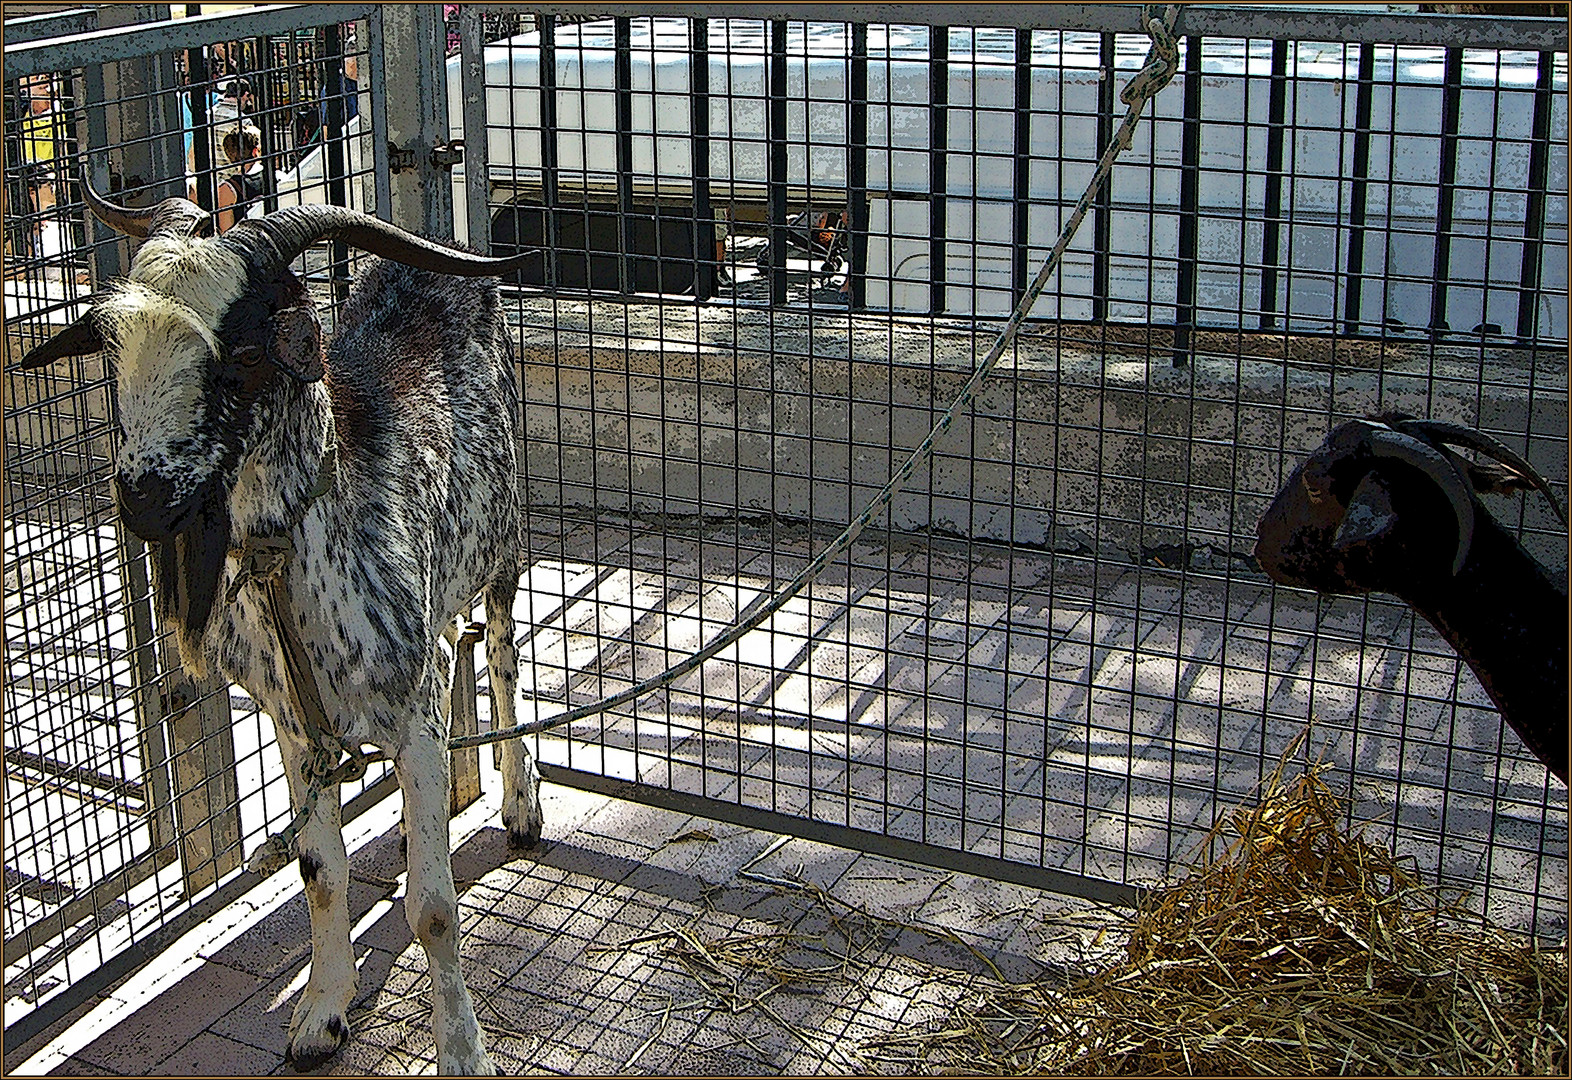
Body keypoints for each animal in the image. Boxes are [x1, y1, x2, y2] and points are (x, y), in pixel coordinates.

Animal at [15, 185, 547, 1075]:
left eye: (239, 353)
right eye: (114, 347)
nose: (144, 498)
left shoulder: (410, 714)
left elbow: (434, 909)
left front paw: (464, 1051)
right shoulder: (297, 728)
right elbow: (320, 873)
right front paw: (320, 1016)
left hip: (500, 539)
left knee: (502, 652)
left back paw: (519, 804)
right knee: (452, 650)